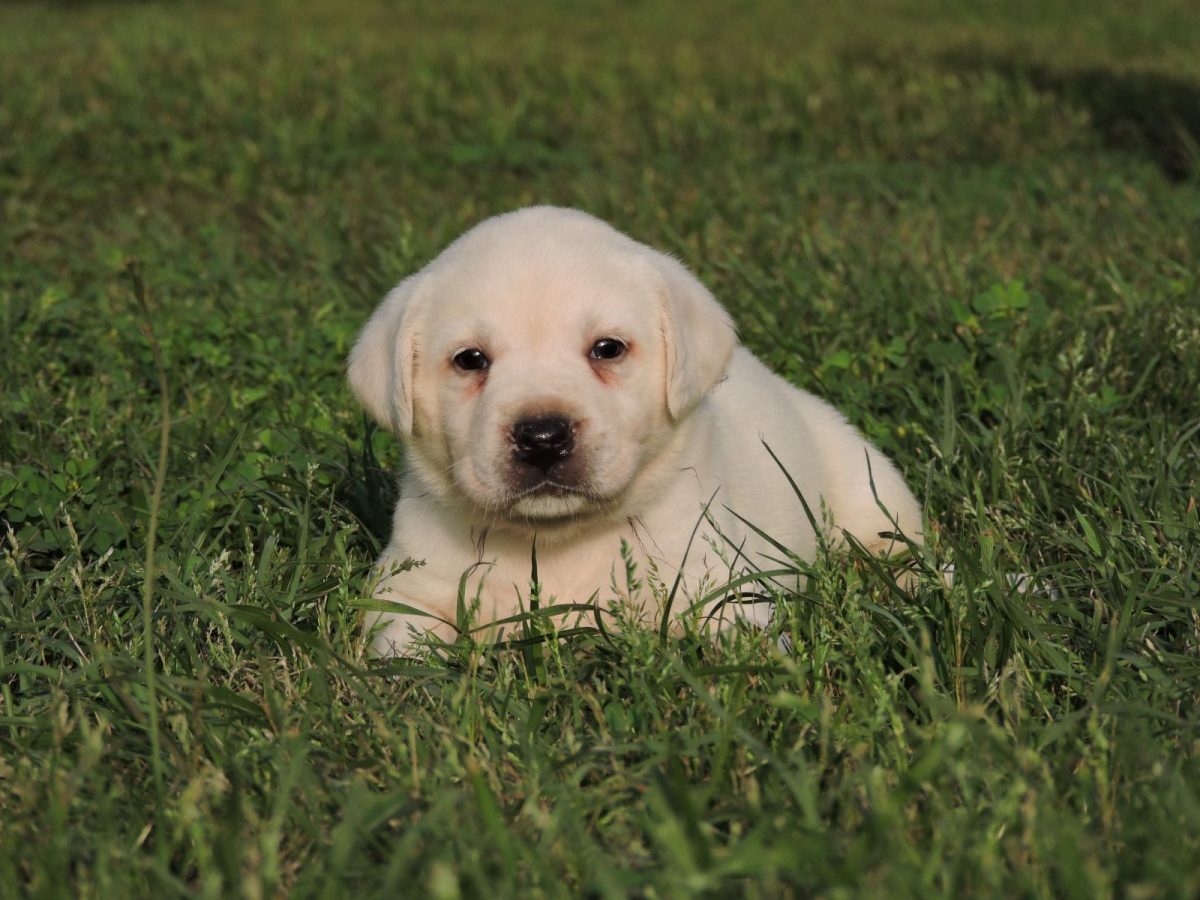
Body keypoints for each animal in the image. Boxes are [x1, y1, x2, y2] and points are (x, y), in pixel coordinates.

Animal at [350, 207, 921, 657]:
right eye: (470, 360)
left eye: (608, 349)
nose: (543, 437)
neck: (559, 541)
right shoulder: (408, 589)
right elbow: (402, 647)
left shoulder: (715, 587)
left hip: (865, 486)